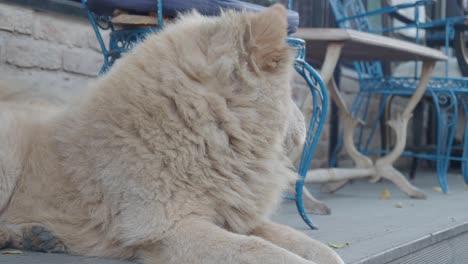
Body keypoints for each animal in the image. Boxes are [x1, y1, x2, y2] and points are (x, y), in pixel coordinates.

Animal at [0, 4, 344, 264]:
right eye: (290, 93)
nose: (306, 123)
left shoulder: (235, 216)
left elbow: (301, 241)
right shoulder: (170, 229)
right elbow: (261, 250)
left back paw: (35, 236)